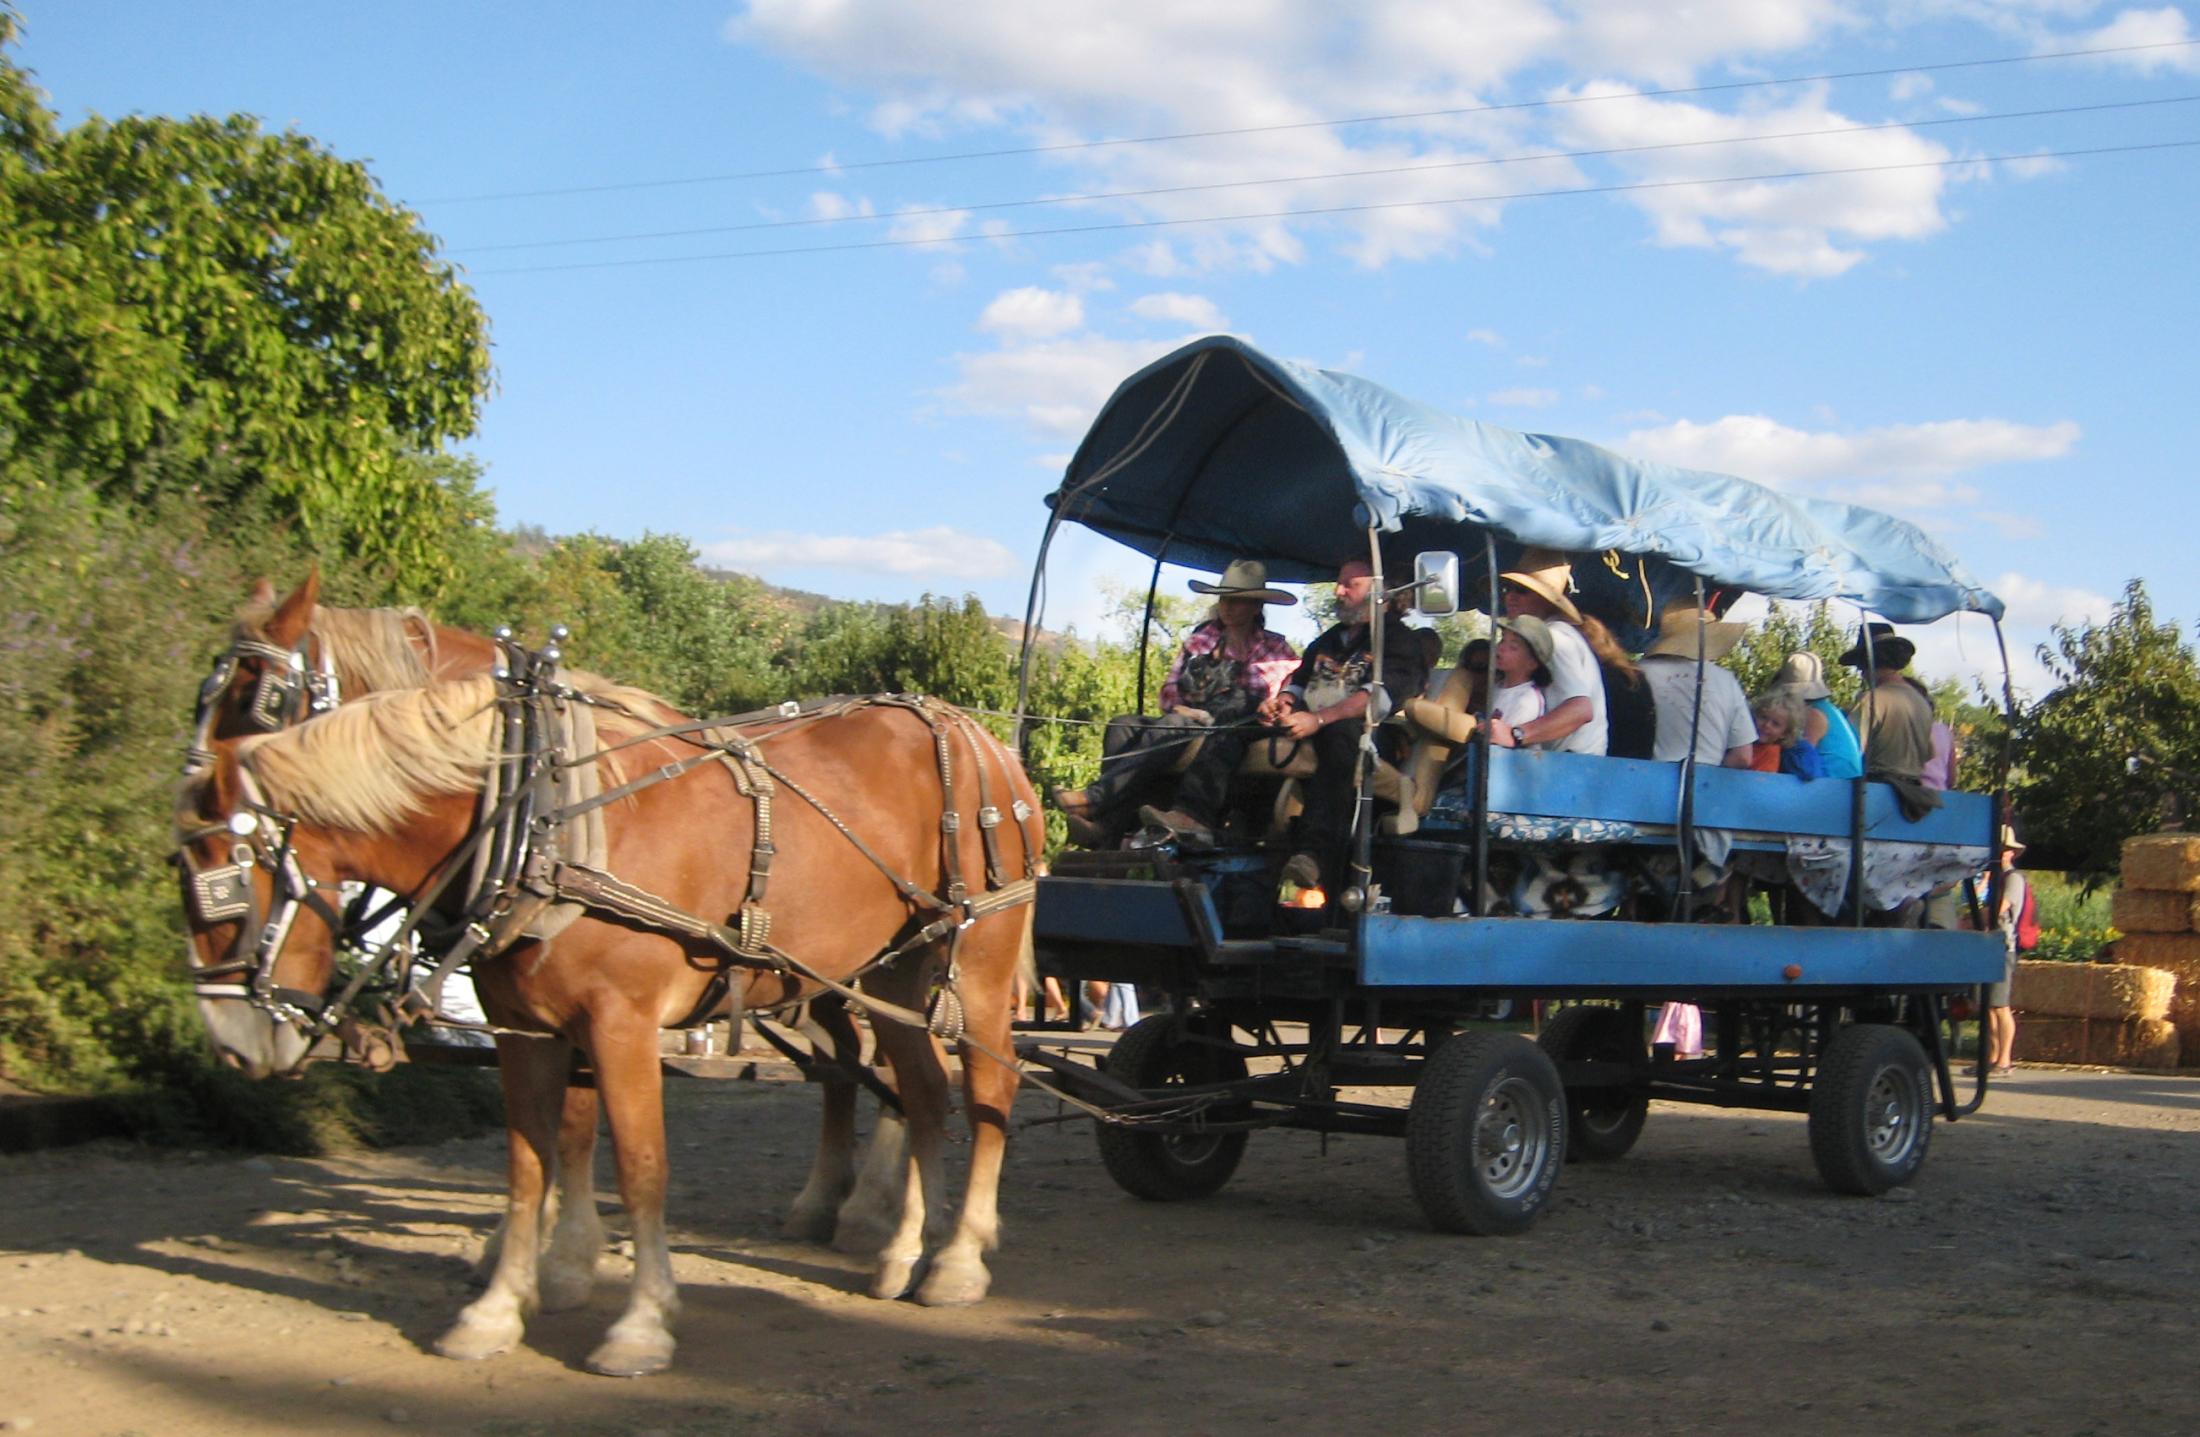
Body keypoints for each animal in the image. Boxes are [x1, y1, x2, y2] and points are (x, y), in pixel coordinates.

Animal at [178, 668, 1038, 1373]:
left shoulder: (620, 1023)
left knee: (988, 1090)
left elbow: (639, 1164)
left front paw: (640, 1324)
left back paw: (960, 1257)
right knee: (922, 1094)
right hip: (889, 972)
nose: (233, 1044)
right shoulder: (525, 1028)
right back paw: (906, 1252)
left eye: (223, 885)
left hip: (978, 964)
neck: (541, 819)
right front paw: (497, 1308)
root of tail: (981, 738)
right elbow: (531, 1163)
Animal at [193, 572, 906, 1258]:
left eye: (258, 699)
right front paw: (539, 1249)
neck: (541, 794)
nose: (201, 791)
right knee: (848, 1065)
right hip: (825, 974)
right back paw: (832, 1203)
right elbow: (567, 1130)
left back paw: (876, 1217)